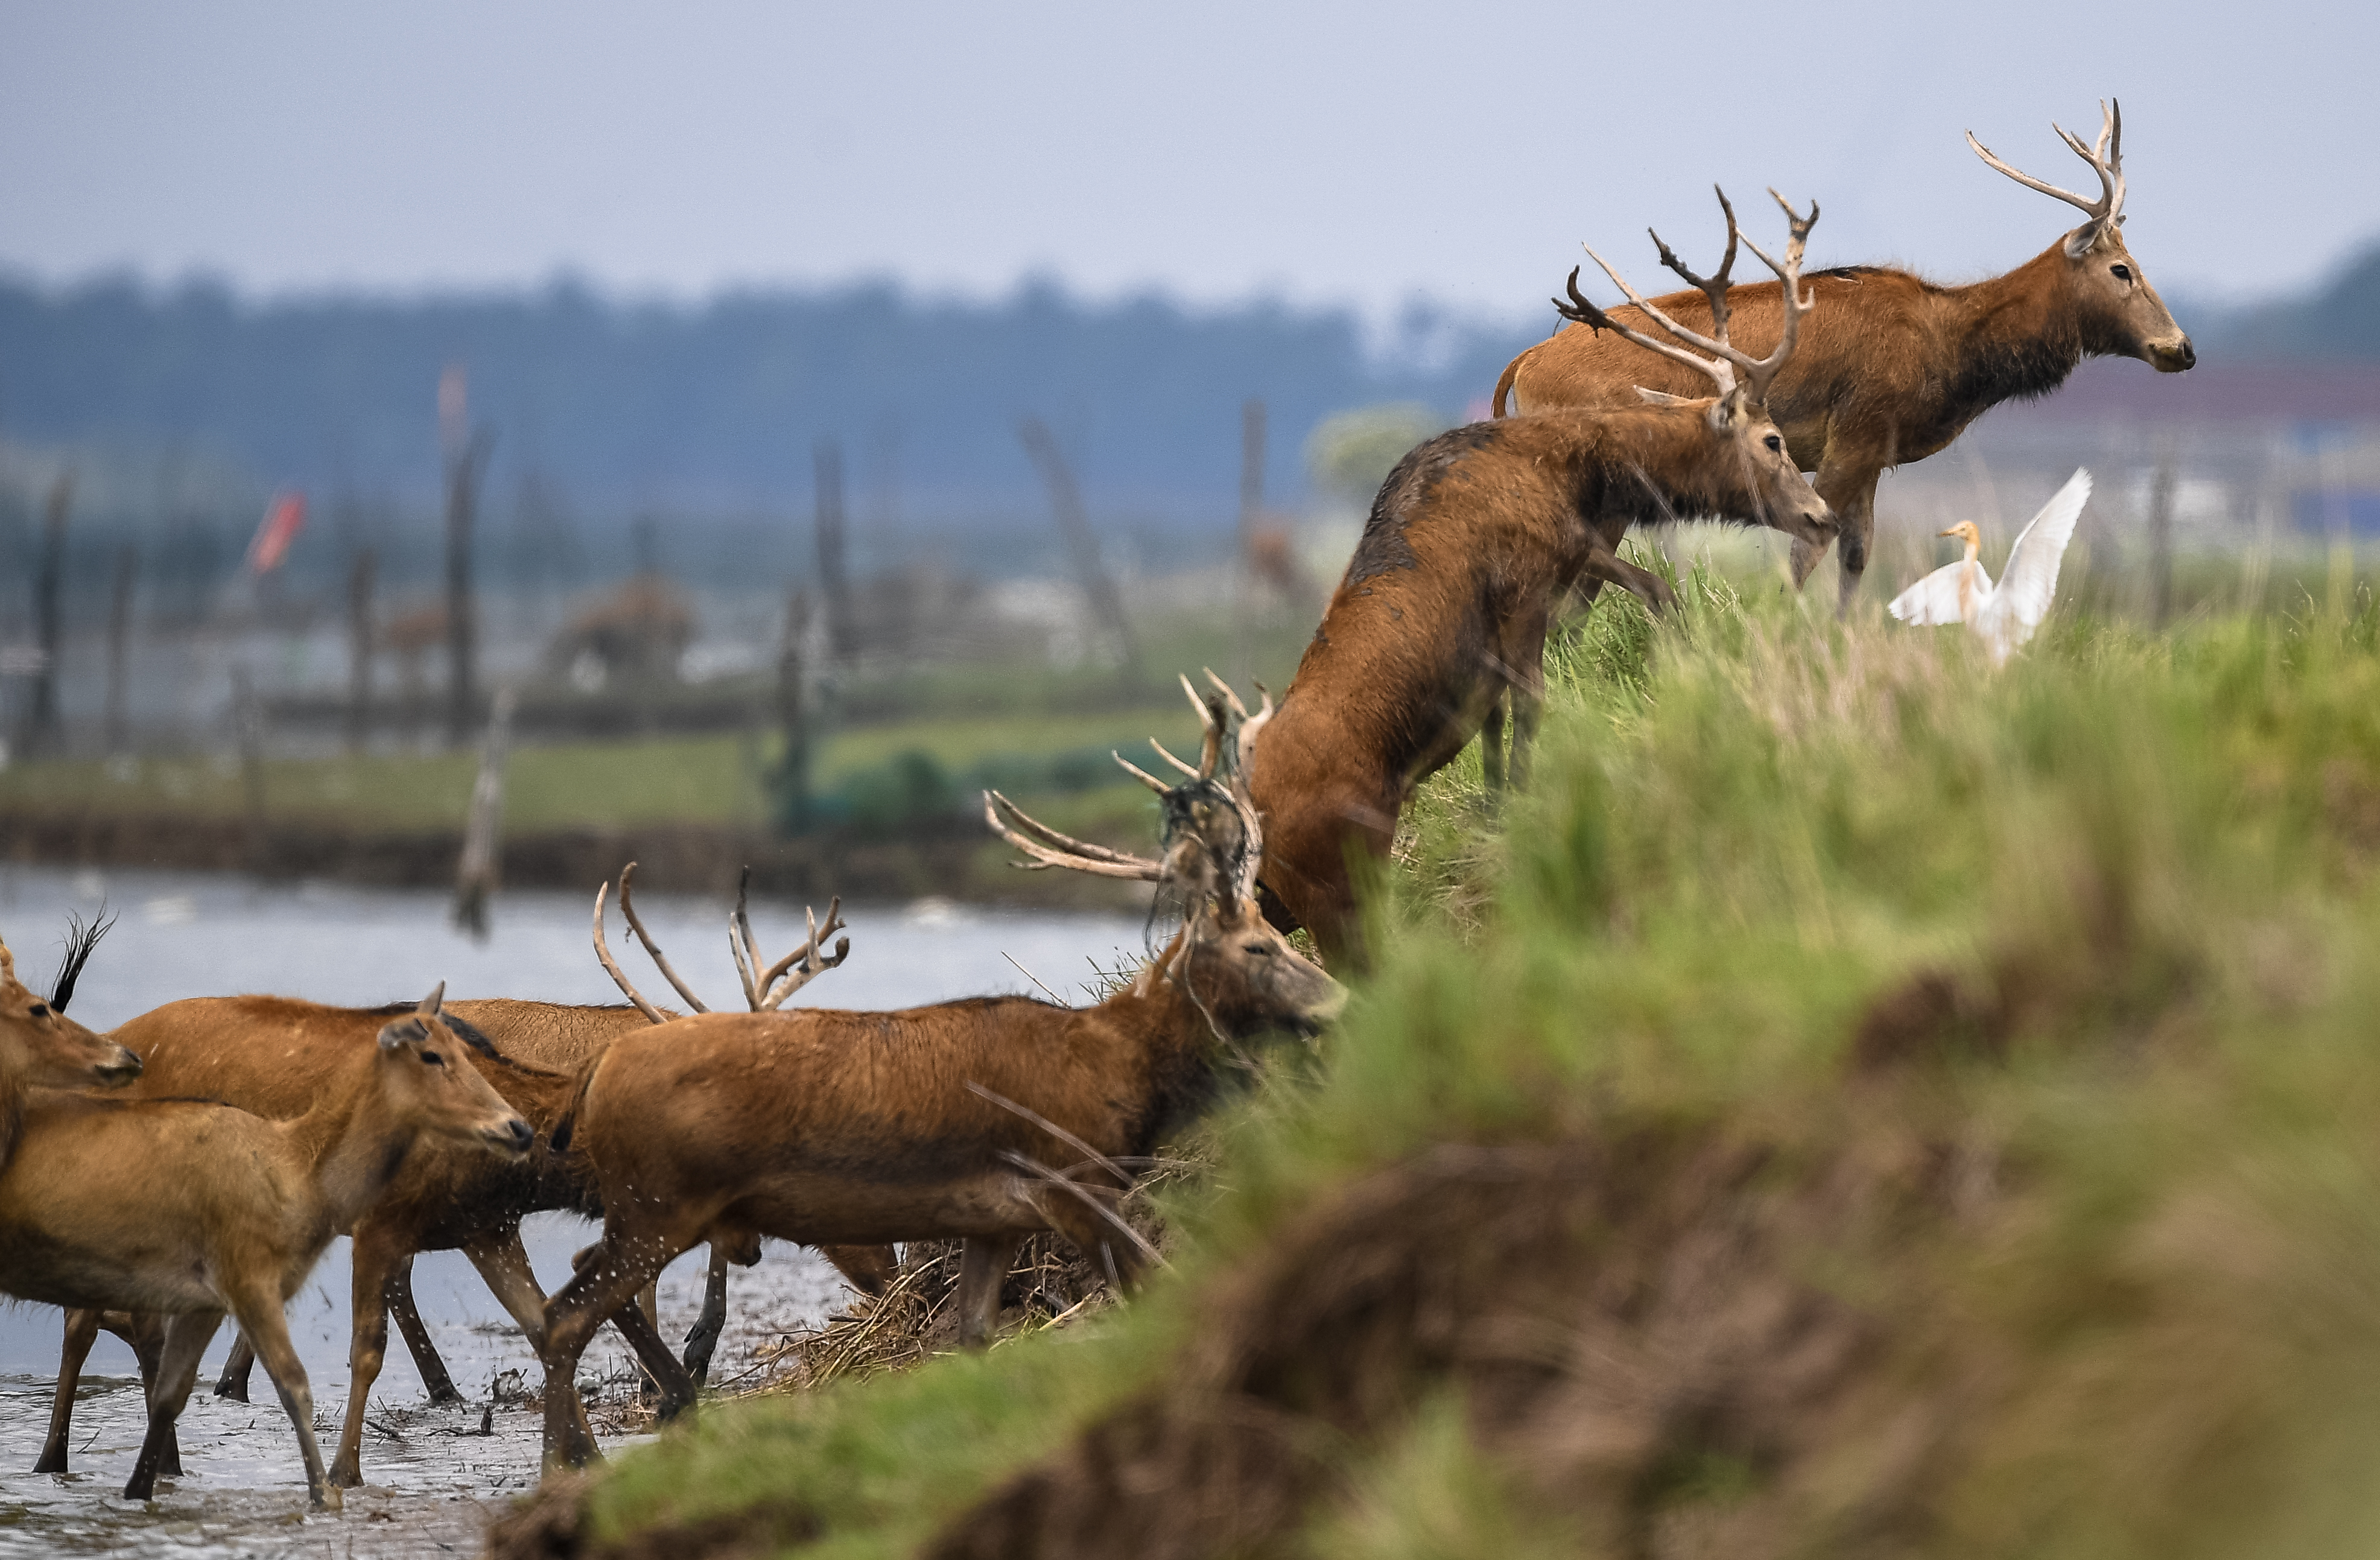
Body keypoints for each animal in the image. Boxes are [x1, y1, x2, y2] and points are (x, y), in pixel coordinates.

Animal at [530, 680, 1342, 1465]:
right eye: (1258, 947)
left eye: (1275, 934)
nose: (1336, 999)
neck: (1119, 1067)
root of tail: (596, 1071)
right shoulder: (1072, 1180)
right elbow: (1152, 1286)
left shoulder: (998, 1218)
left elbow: (973, 1337)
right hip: (660, 1201)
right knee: (564, 1313)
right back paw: (575, 1461)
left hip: (654, 1206)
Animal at [1256, 190, 1827, 956]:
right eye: (1772, 441)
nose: (1823, 515)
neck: (1576, 468)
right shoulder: (1525, 591)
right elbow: (1533, 701)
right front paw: (1516, 811)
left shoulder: (1559, 572)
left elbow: (1516, 704)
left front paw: (1495, 806)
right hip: (1339, 887)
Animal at [1494, 102, 2199, 609]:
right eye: (2121, 269)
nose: (2181, 348)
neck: (1950, 350)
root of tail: (1523, 363)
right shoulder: (1853, 437)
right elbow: (1807, 553)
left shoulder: (1873, 457)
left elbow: (1857, 558)